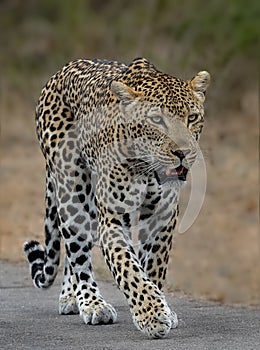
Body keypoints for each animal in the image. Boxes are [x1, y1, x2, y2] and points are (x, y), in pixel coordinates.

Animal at [23, 58, 210, 340]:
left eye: (192, 118)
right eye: (157, 120)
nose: (183, 152)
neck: (147, 169)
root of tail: (62, 70)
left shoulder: (162, 217)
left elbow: (153, 266)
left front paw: (161, 308)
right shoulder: (112, 219)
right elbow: (128, 267)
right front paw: (152, 315)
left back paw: (71, 297)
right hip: (72, 187)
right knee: (77, 251)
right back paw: (90, 303)